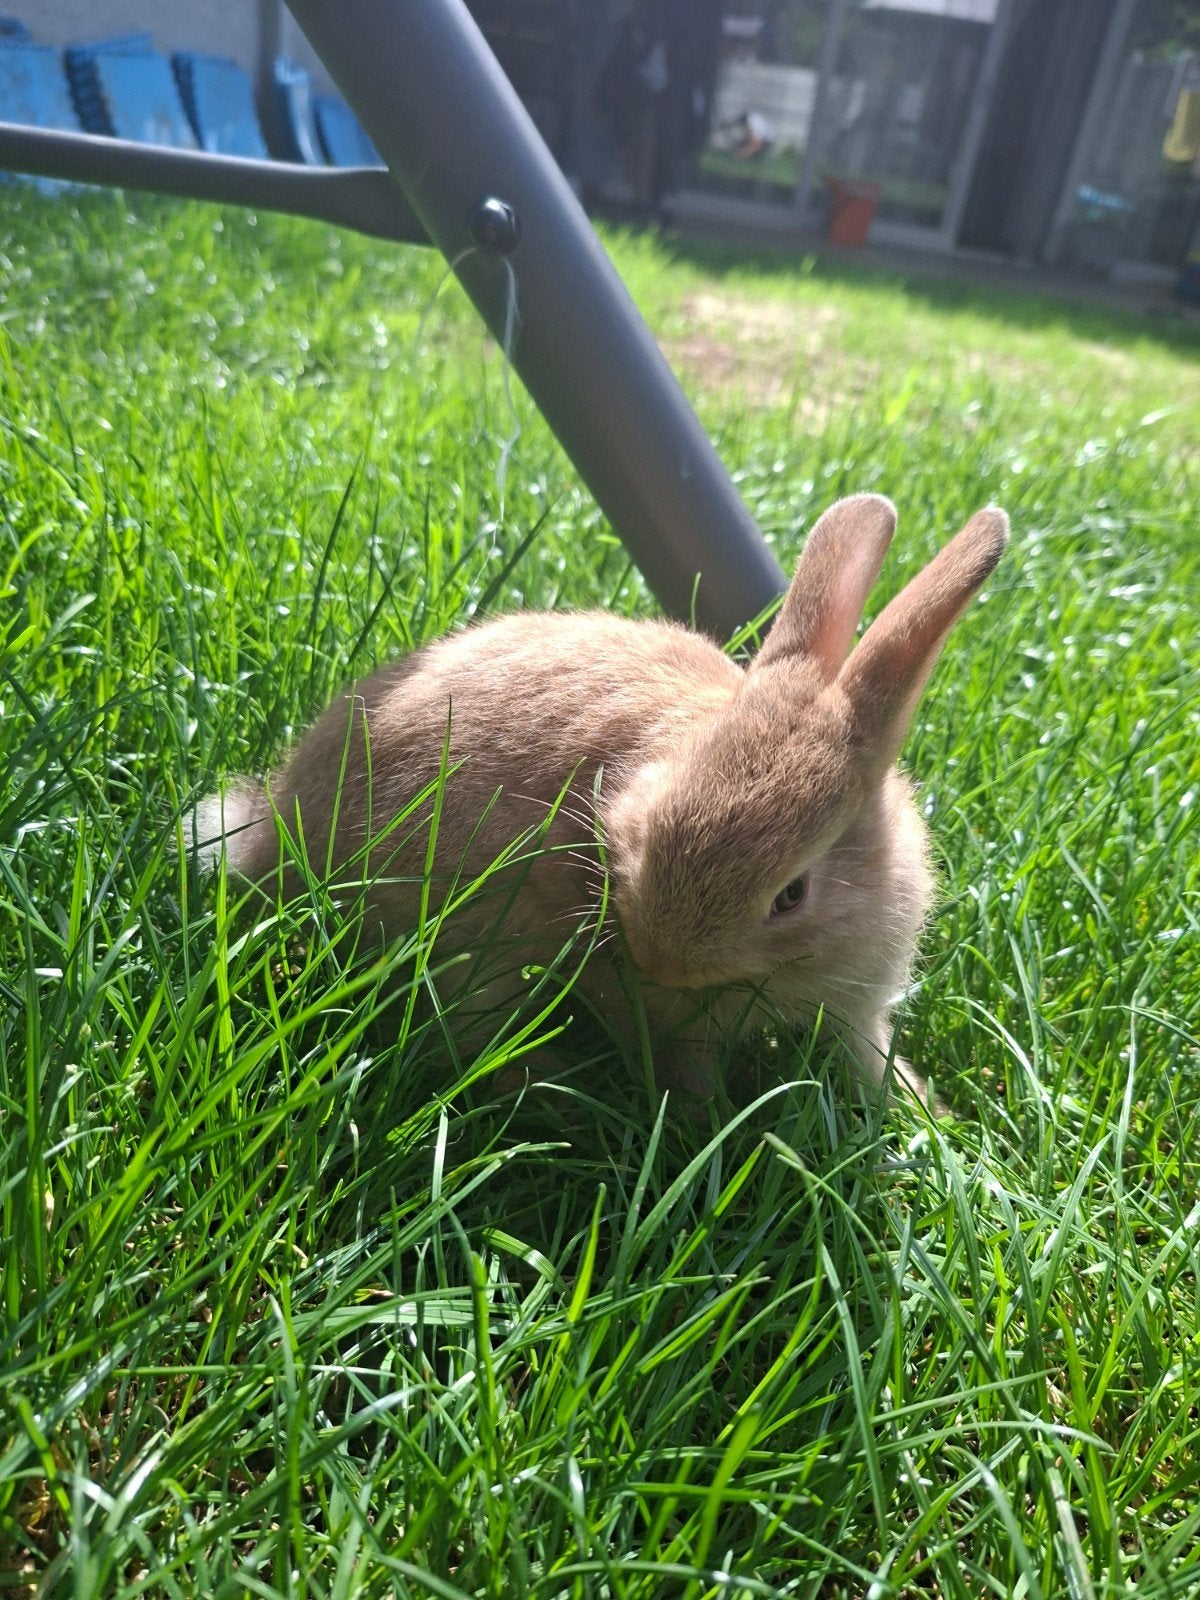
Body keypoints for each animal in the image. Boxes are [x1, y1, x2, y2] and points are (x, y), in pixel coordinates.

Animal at [192, 494, 1007, 1106]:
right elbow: (685, 1067)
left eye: (791, 895)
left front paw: (919, 1115)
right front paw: (704, 1133)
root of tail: (274, 833)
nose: (659, 959)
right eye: (640, 829)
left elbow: (866, 1056)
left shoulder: (859, 1003)